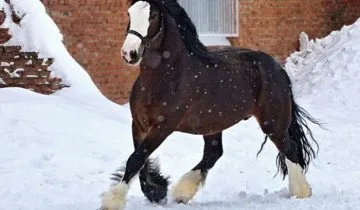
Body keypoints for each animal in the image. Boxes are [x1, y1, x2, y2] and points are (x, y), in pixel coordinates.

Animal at [100, 0, 320, 209]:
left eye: (152, 15)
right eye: (129, 13)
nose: (129, 53)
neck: (166, 76)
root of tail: (278, 69)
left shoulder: (163, 127)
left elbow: (136, 158)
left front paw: (113, 201)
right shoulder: (138, 125)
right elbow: (140, 160)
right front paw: (156, 191)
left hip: (273, 124)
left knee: (290, 149)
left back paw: (301, 191)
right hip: (213, 125)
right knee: (214, 154)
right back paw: (182, 193)